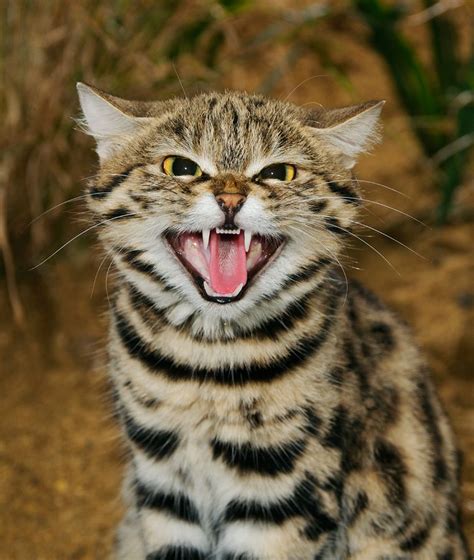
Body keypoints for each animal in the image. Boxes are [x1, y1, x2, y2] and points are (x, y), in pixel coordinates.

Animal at [76, 83, 468, 560]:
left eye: (279, 172)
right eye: (180, 167)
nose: (230, 199)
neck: (207, 361)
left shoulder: (284, 494)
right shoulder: (162, 481)